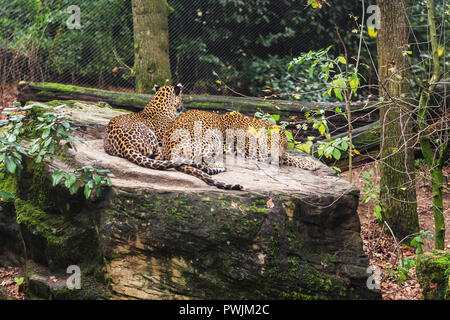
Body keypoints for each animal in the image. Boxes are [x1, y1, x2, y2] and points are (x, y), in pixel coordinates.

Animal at [162, 110, 320, 175]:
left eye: (285, 146)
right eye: (276, 143)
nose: (279, 156)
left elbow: (291, 157)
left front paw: (310, 162)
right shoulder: (255, 151)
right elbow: (289, 158)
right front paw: (311, 164)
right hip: (210, 139)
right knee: (197, 160)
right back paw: (219, 165)